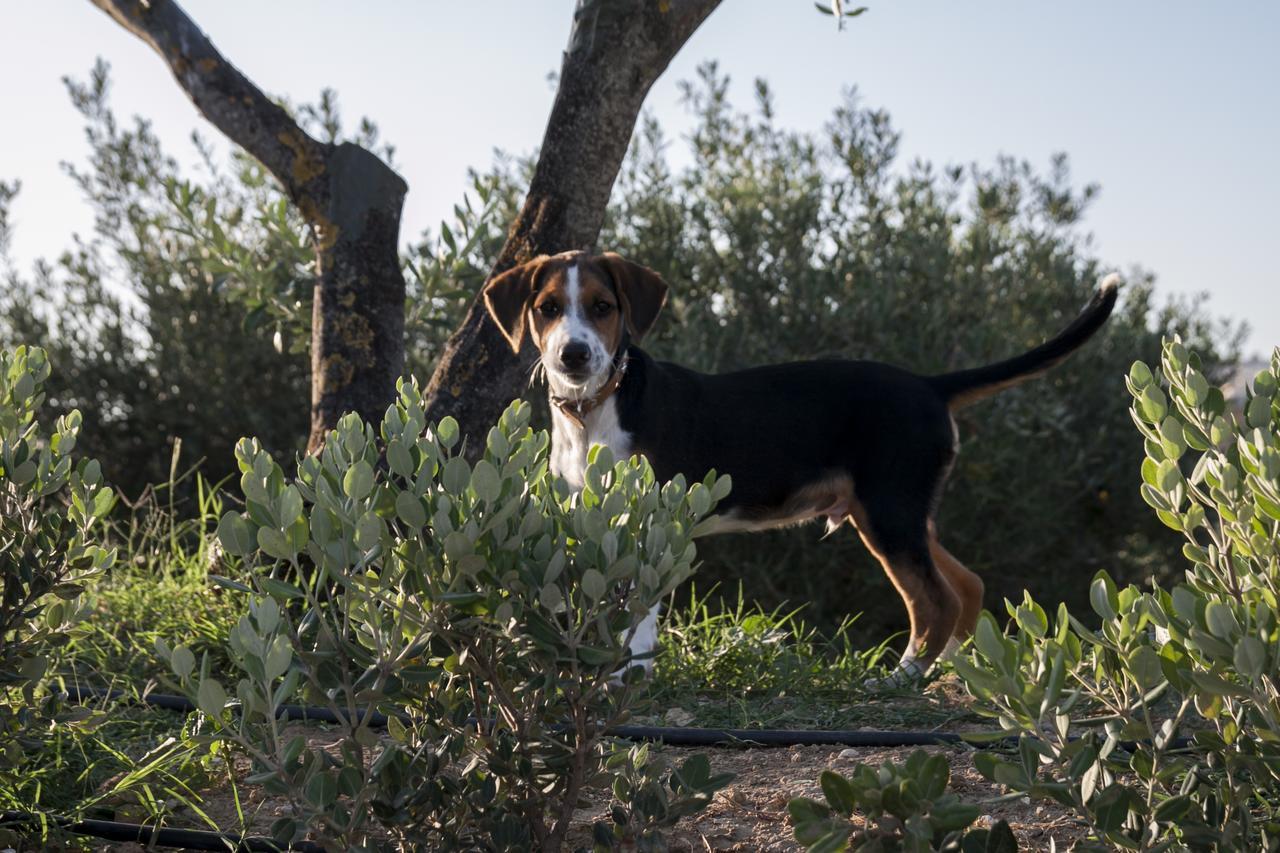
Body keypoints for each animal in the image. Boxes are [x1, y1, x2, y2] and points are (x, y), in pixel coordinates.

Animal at [483, 247, 1116, 686]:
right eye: (547, 309)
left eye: (603, 307)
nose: (574, 355)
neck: (594, 408)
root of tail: (930, 385)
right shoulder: (594, 521)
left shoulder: (650, 524)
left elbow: (637, 616)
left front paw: (629, 677)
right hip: (901, 513)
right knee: (967, 586)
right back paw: (947, 674)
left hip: (889, 514)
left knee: (936, 600)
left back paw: (901, 679)